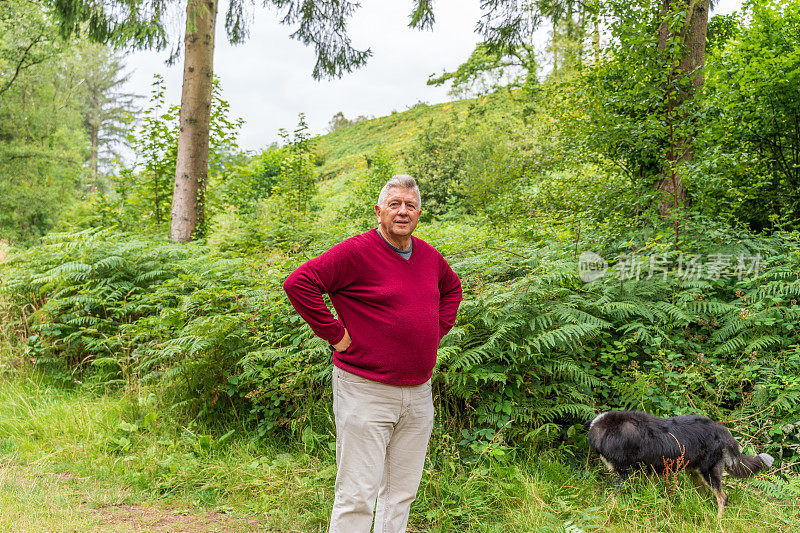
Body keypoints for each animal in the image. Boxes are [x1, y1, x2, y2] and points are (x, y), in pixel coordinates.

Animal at [588, 410, 776, 512]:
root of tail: (721, 429)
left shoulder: (626, 474)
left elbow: (613, 498)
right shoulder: (645, 473)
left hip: (709, 473)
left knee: (723, 498)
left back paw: (718, 523)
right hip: (696, 475)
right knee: (706, 498)